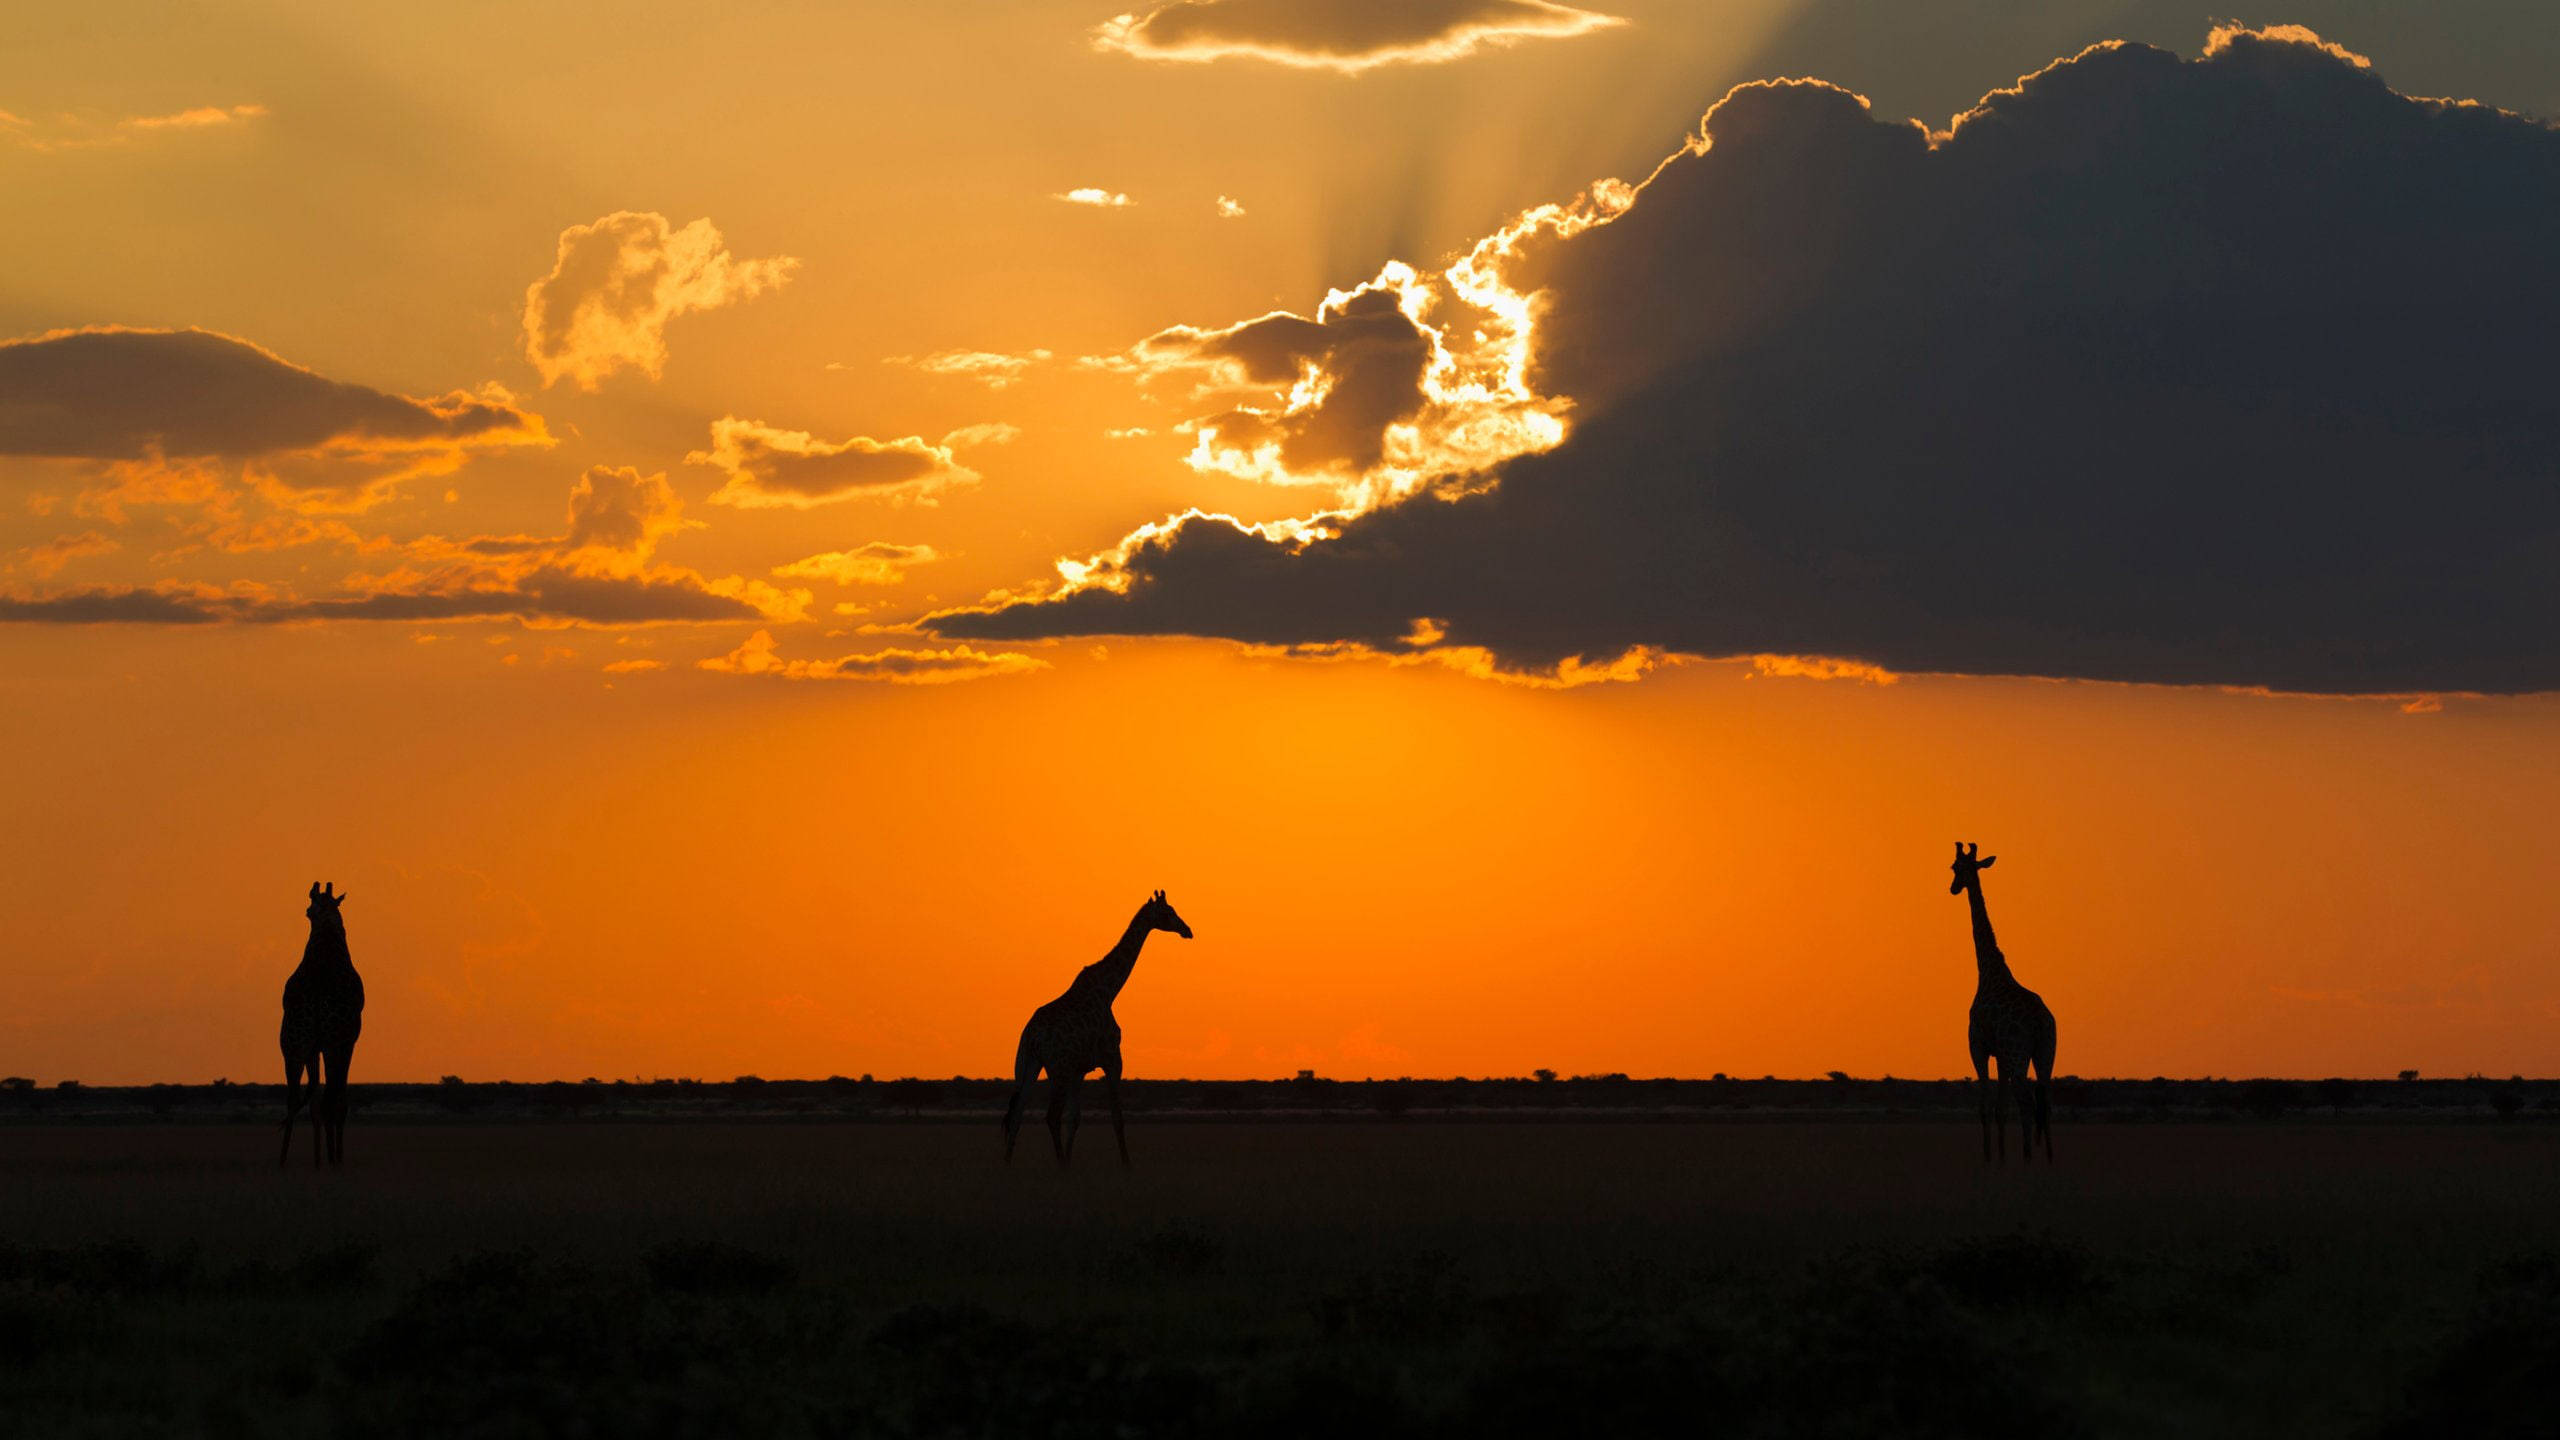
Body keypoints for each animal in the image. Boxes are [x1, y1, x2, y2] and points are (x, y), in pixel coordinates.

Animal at [279, 881, 365, 1167]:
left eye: (309, 909)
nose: (308, 912)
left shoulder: (311, 1046)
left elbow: (313, 1098)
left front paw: (319, 1158)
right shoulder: (347, 1040)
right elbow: (338, 1099)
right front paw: (334, 1157)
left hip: (291, 1044)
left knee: (293, 1098)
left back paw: (283, 1160)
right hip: (331, 1041)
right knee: (330, 1098)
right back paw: (333, 1161)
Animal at [1001, 890, 1192, 1168]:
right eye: (1169, 912)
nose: (1187, 930)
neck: (1109, 991)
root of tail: (1031, 1036)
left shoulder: (1079, 1069)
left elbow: (1075, 1118)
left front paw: (1072, 1159)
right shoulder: (1112, 1058)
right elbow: (1116, 1117)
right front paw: (1126, 1164)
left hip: (1028, 1064)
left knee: (1016, 1112)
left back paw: (1007, 1164)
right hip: (1057, 1068)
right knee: (1050, 1115)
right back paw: (1059, 1165)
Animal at [1950, 842, 2056, 1163]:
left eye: (1957, 868)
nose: (1953, 888)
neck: (1988, 972)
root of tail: (2039, 1021)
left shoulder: (1979, 1047)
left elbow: (1986, 1106)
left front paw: (1988, 1159)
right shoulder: (2000, 1055)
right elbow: (2001, 1108)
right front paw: (2000, 1157)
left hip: (2018, 1052)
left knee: (2028, 1102)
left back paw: (2028, 1159)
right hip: (2045, 1052)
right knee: (2046, 1102)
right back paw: (2048, 1160)